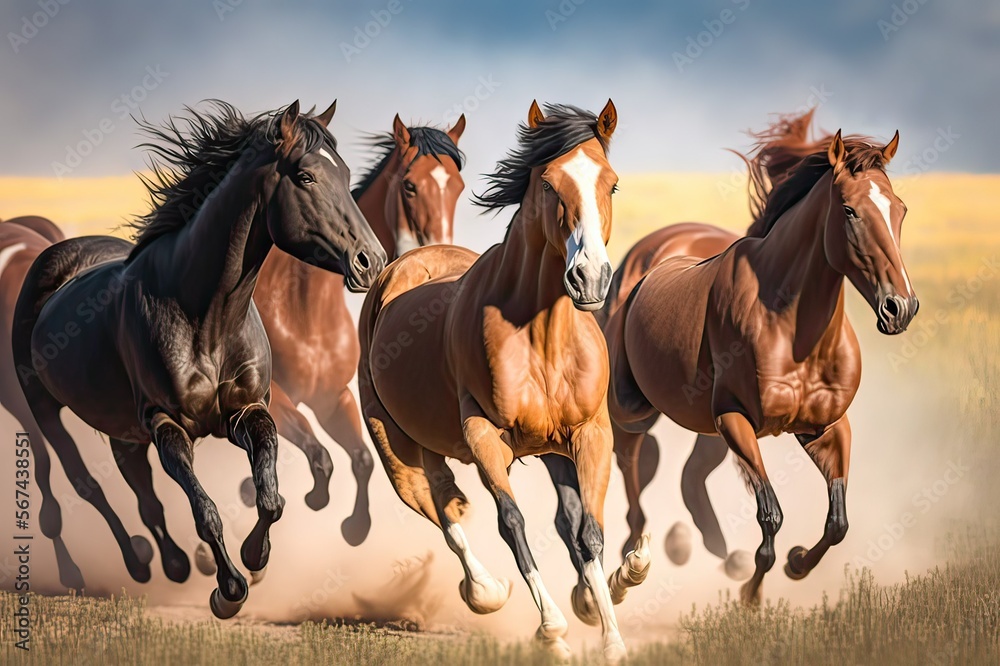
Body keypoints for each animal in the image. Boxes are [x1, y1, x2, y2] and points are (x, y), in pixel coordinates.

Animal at [12, 100, 386, 618]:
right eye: (306, 176)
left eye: (346, 173)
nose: (372, 261)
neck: (205, 317)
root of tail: (58, 254)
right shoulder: (167, 424)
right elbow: (205, 511)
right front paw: (228, 591)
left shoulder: (246, 412)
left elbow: (271, 497)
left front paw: (255, 556)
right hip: (44, 408)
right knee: (87, 483)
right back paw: (131, 564)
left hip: (123, 428)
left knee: (141, 491)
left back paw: (170, 563)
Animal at [243, 114, 466, 549]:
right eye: (409, 186)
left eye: (458, 186)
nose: (440, 252)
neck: (301, 307)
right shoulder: (275, 400)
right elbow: (317, 452)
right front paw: (310, 499)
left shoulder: (333, 397)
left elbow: (360, 460)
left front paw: (355, 528)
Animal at [358, 101, 629, 660]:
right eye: (547, 183)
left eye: (611, 184)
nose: (589, 277)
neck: (541, 337)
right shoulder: (484, 437)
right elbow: (513, 523)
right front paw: (552, 631)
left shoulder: (591, 435)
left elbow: (587, 531)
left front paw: (611, 637)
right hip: (396, 444)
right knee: (439, 507)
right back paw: (485, 591)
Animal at [603, 128, 918, 605]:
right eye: (849, 210)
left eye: (899, 209)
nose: (900, 308)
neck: (790, 328)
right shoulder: (735, 420)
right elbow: (771, 514)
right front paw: (751, 595)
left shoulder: (826, 426)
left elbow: (838, 521)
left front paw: (796, 563)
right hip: (634, 410)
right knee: (632, 463)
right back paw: (629, 568)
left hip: (702, 428)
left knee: (687, 479)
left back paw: (715, 553)